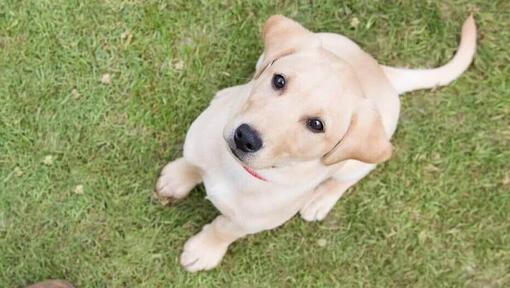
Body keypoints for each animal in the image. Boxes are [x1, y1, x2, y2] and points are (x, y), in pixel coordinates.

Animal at [153, 14, 476, 272]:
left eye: (316, 125)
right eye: (279, 80)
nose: (245, 137)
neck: (237, 171)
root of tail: (382, 72)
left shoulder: (249, 222)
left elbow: (223, 229)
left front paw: (204, 250)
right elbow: (192, 163)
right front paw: (177, 178)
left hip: (357, 162)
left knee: (343, 180)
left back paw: (320, 200)